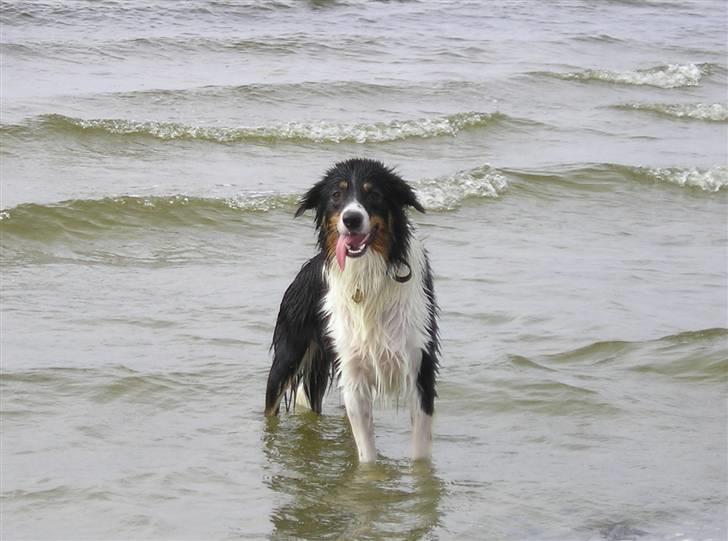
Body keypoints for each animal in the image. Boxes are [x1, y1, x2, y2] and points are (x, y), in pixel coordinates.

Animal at [264, 158, 440, 462]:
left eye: (374, 194)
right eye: (336, 194)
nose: (352, 219)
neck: (367, 276)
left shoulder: (421, 364)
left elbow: (420, 453)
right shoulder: (353, 370)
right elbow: (367, 454)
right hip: (288, 354)